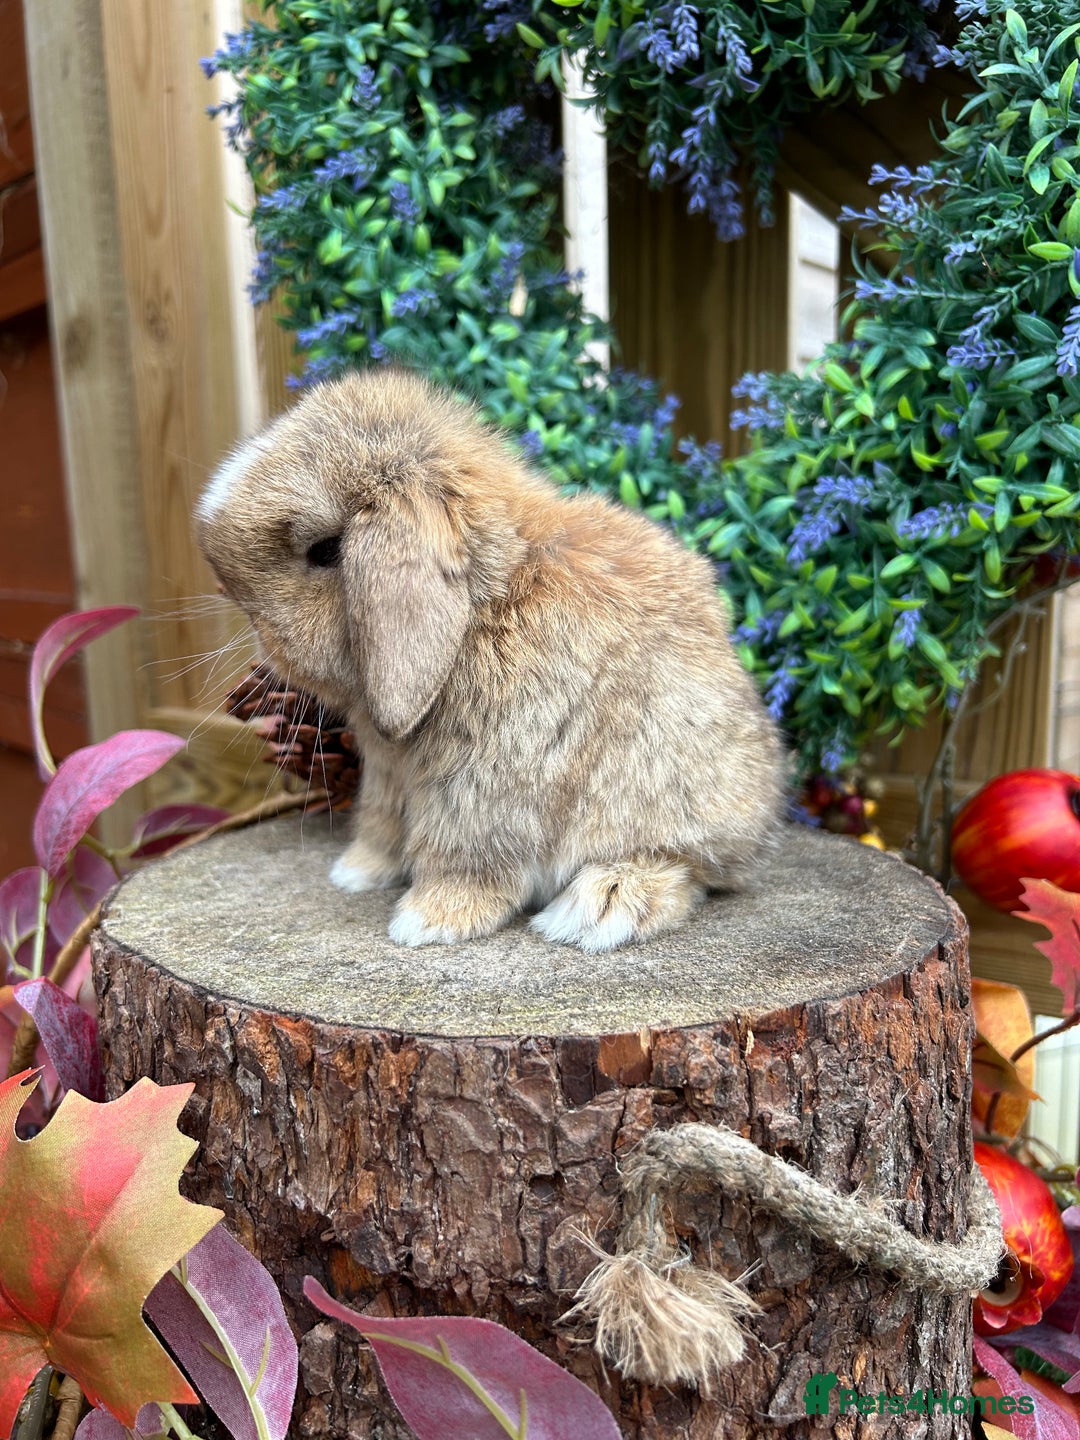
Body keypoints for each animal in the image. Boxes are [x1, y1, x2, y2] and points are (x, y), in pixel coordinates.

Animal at [197, 367, 785, 952]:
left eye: (324, 551)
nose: (260, 638)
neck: (481, 614)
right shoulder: (387, 778)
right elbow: (382, 824)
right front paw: (356, 872)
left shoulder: (481, 789)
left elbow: (466, 857)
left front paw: (427, 922)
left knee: (685, 869)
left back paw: (598, 908)